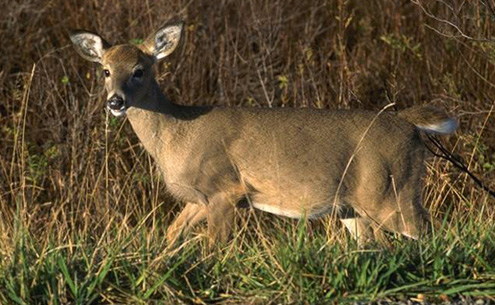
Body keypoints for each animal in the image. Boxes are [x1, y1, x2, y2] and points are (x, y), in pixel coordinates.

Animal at [70, 20, 458, 245]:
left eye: (139, 70)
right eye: (105, 70)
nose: (115, 102)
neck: (177, 132)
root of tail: (408, 124)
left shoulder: (225, 187)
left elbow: (213, 248)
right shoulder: (199, 197)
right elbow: (171, 234)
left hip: (392, 191)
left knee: (429, 233)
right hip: (354, 206)